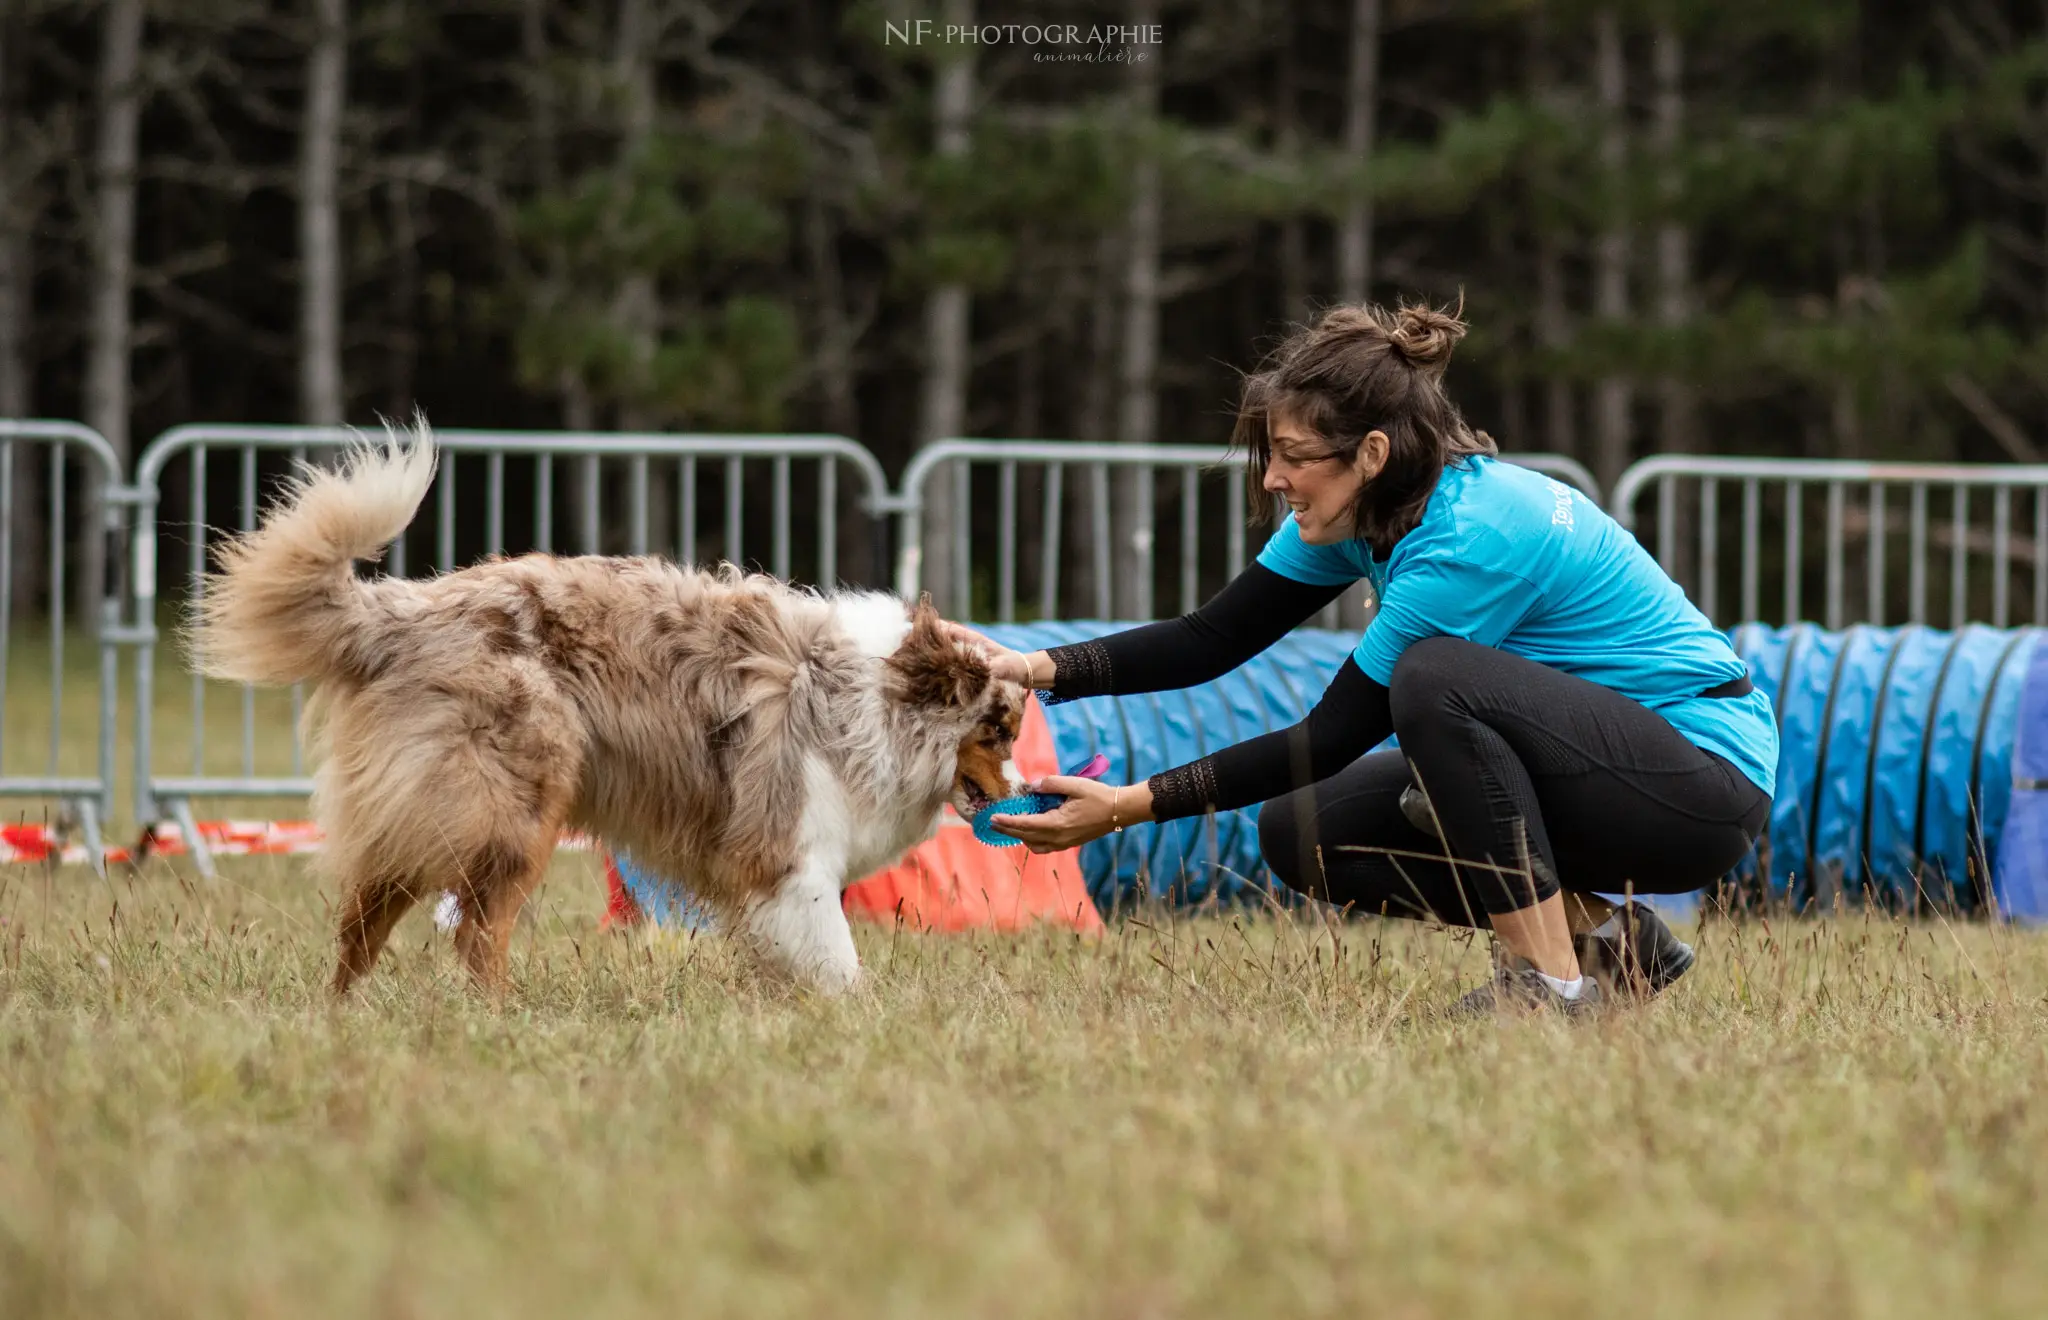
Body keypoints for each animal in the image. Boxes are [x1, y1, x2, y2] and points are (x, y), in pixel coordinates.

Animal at [186, 427, 1032, 994]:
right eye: (996, 729)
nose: (1024, 789)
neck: (872, 698)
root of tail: (401, 612)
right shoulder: (792, 854)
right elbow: (836, 955)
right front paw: (856, 1015)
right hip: (513, 806)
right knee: (474, 930)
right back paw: (494, 1016)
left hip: (440, 807)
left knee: (364, 916)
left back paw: (344, 1012)